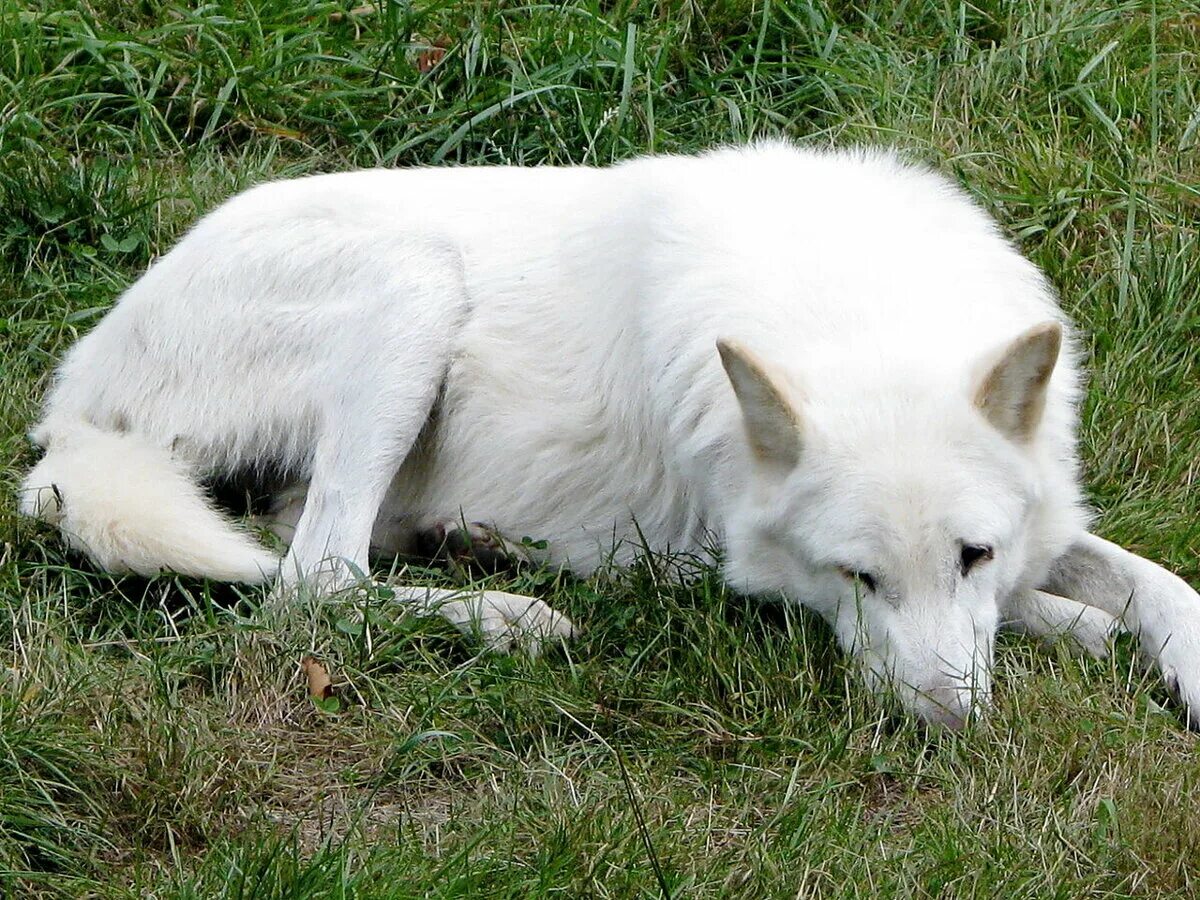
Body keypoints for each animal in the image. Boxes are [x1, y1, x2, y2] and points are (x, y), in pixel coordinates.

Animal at [18, 142, 1200, 734]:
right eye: (856, 577)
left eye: (972, 554)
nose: (948, 725)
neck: (857, 313)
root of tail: (74, 391)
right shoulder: (732, 552)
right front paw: (1075, 627)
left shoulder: (1045, 527)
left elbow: (1159, 582)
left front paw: (1143, 644)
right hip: (415, 286)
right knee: (316, 580)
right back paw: (510, 614)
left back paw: (480, 549)